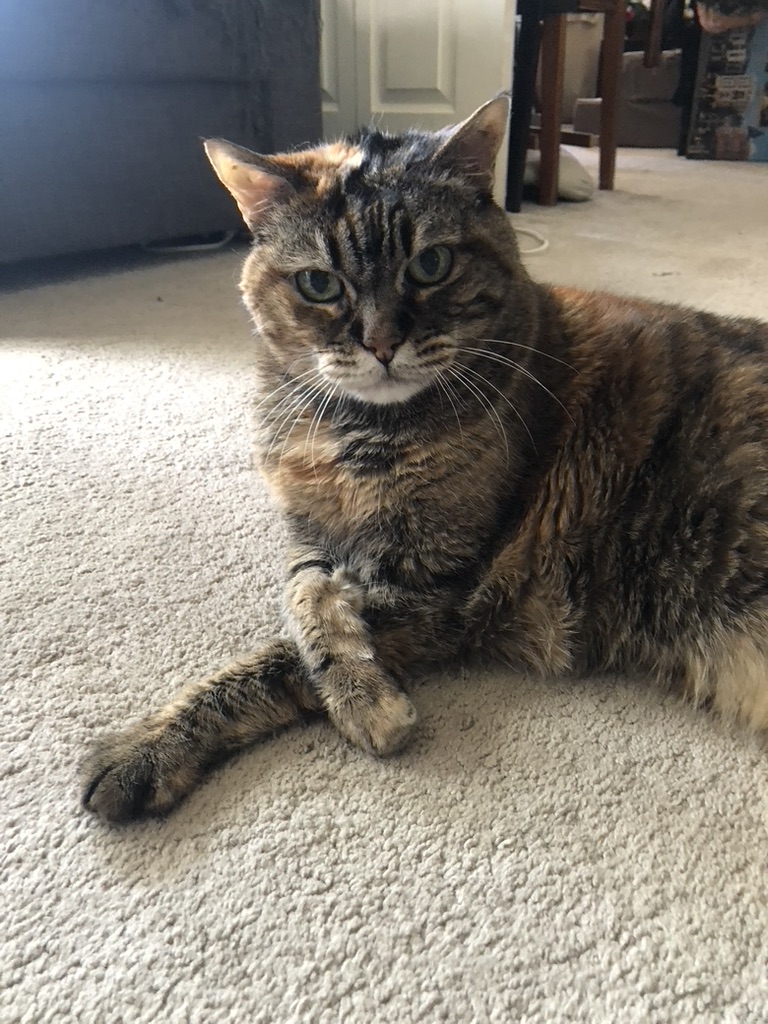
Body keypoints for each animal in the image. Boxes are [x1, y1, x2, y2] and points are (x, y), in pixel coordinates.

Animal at [82, 92, 768, 819]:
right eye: (319, 284)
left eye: (431, 265)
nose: (381, 343)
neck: (353, 433)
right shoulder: (310, 538)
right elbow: (301, 598)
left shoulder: (439, 586)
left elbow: (282, 656)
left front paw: (152, 745)